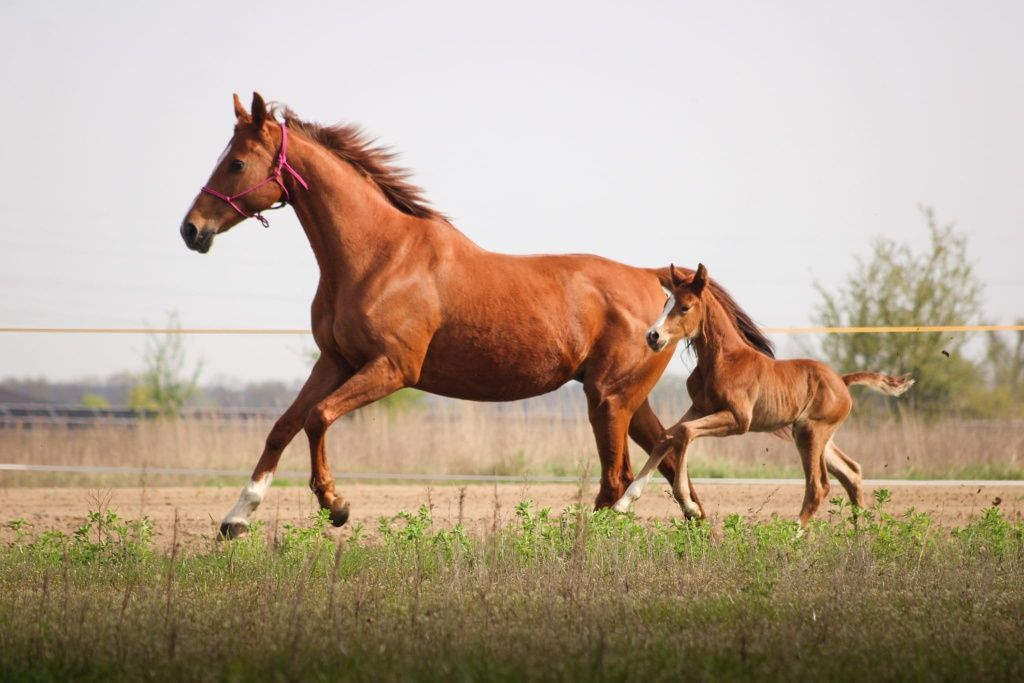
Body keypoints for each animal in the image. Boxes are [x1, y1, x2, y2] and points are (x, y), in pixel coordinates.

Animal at [610, 264, 917, 528]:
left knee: (818, 487)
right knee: (851, 472)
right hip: (815, 435)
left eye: (684, 307)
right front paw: (623, 502)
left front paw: (690, 506)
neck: (723, 360)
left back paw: (792, 536)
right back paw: (859, 536)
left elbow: (684, 433)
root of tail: (842, 381)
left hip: (810, 433)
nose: (653, 336)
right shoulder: (699, 408)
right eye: (665, 304)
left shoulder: (738, 420)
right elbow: (667, 435)